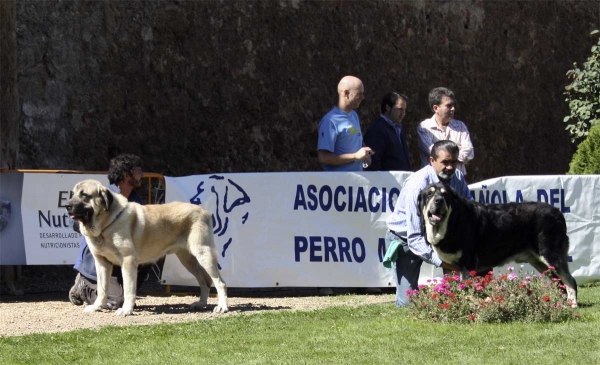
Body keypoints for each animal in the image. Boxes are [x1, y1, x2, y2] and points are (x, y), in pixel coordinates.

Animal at [65, 179, 229, 316]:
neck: (107, 223)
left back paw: (222, 307)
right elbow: (102, 289)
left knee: (220, 282)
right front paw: (96, 307)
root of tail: (205, 211)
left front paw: (126, 310)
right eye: (72, 194)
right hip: (188, 260)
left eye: (84, 195)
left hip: (203, 254)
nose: (67, 206)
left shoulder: (128, 261)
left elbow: (129, 289)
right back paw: (201, 303)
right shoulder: (102, 263)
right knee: (204, 282)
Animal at [418, 183, 576, 306]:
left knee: (570, 281)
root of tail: (558, 213)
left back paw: (572, 304)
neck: (451, 222)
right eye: (429, 194)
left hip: (551, 255)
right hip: (540, 262)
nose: (438, 200)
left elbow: (466, 289)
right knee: (558, 282)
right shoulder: (451, 267)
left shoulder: (467, 264)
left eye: (445, 195)